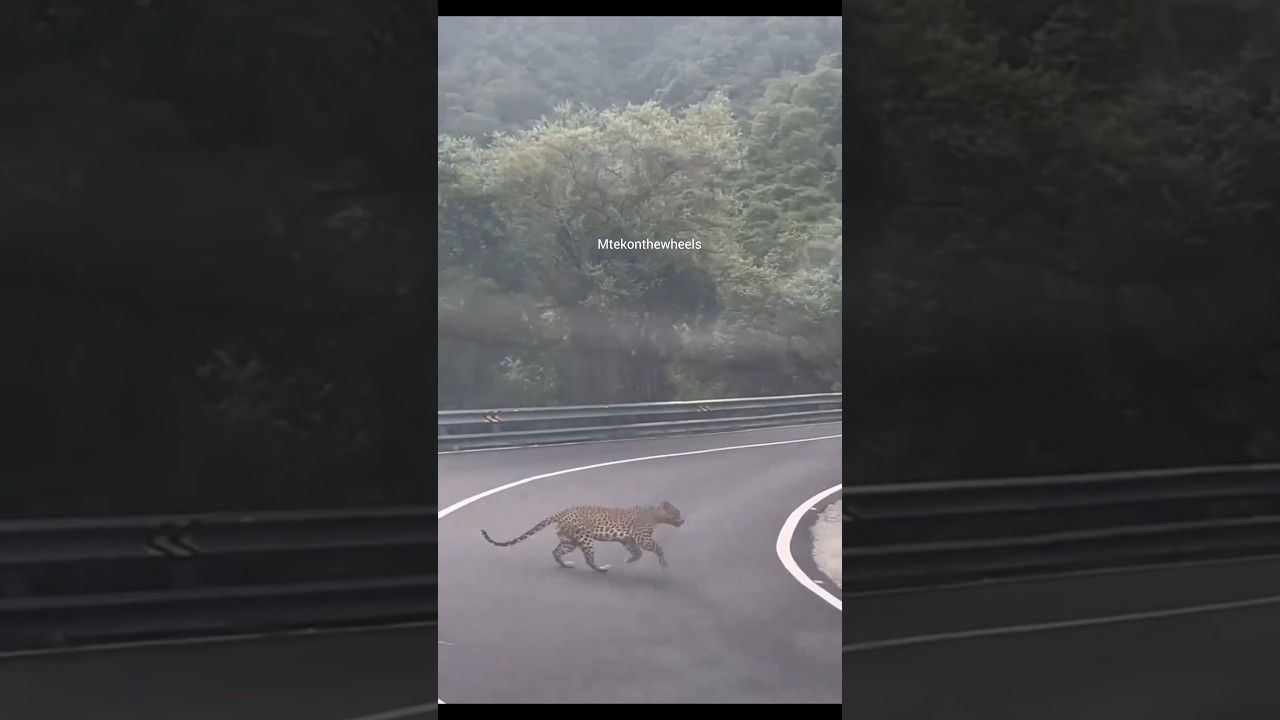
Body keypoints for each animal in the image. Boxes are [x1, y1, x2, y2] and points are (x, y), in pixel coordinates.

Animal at [480, 501, 685, 573]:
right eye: (677, 512)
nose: (683, 520)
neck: (655, 513)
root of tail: (562, 512)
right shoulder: (642, 537)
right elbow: (658, 547)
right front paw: (664, 563)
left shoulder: (628, 539)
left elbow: (636, 552)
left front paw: (630, 559)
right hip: (585, 539)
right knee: (589, 559)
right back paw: (602, 569)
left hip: (569, 540)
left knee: (556, 551)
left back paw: (566, 565)